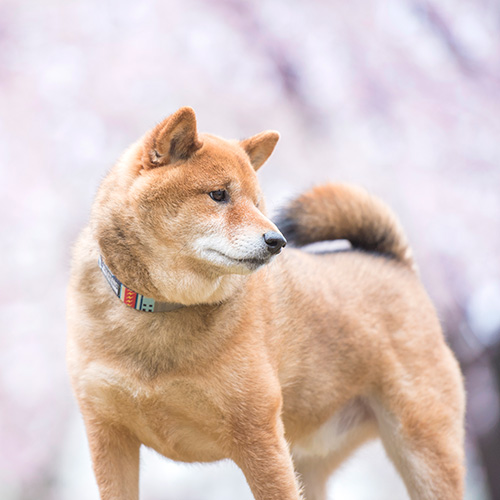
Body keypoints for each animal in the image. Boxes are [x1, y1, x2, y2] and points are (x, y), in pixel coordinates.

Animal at [65, 106, 464, 500]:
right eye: (218, 194)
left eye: (257, 203)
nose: (278, 241)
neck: (160, 310)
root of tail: (394, 263)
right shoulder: (107, 435)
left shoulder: (257, 435)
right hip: (311, 461)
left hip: (423, 453)